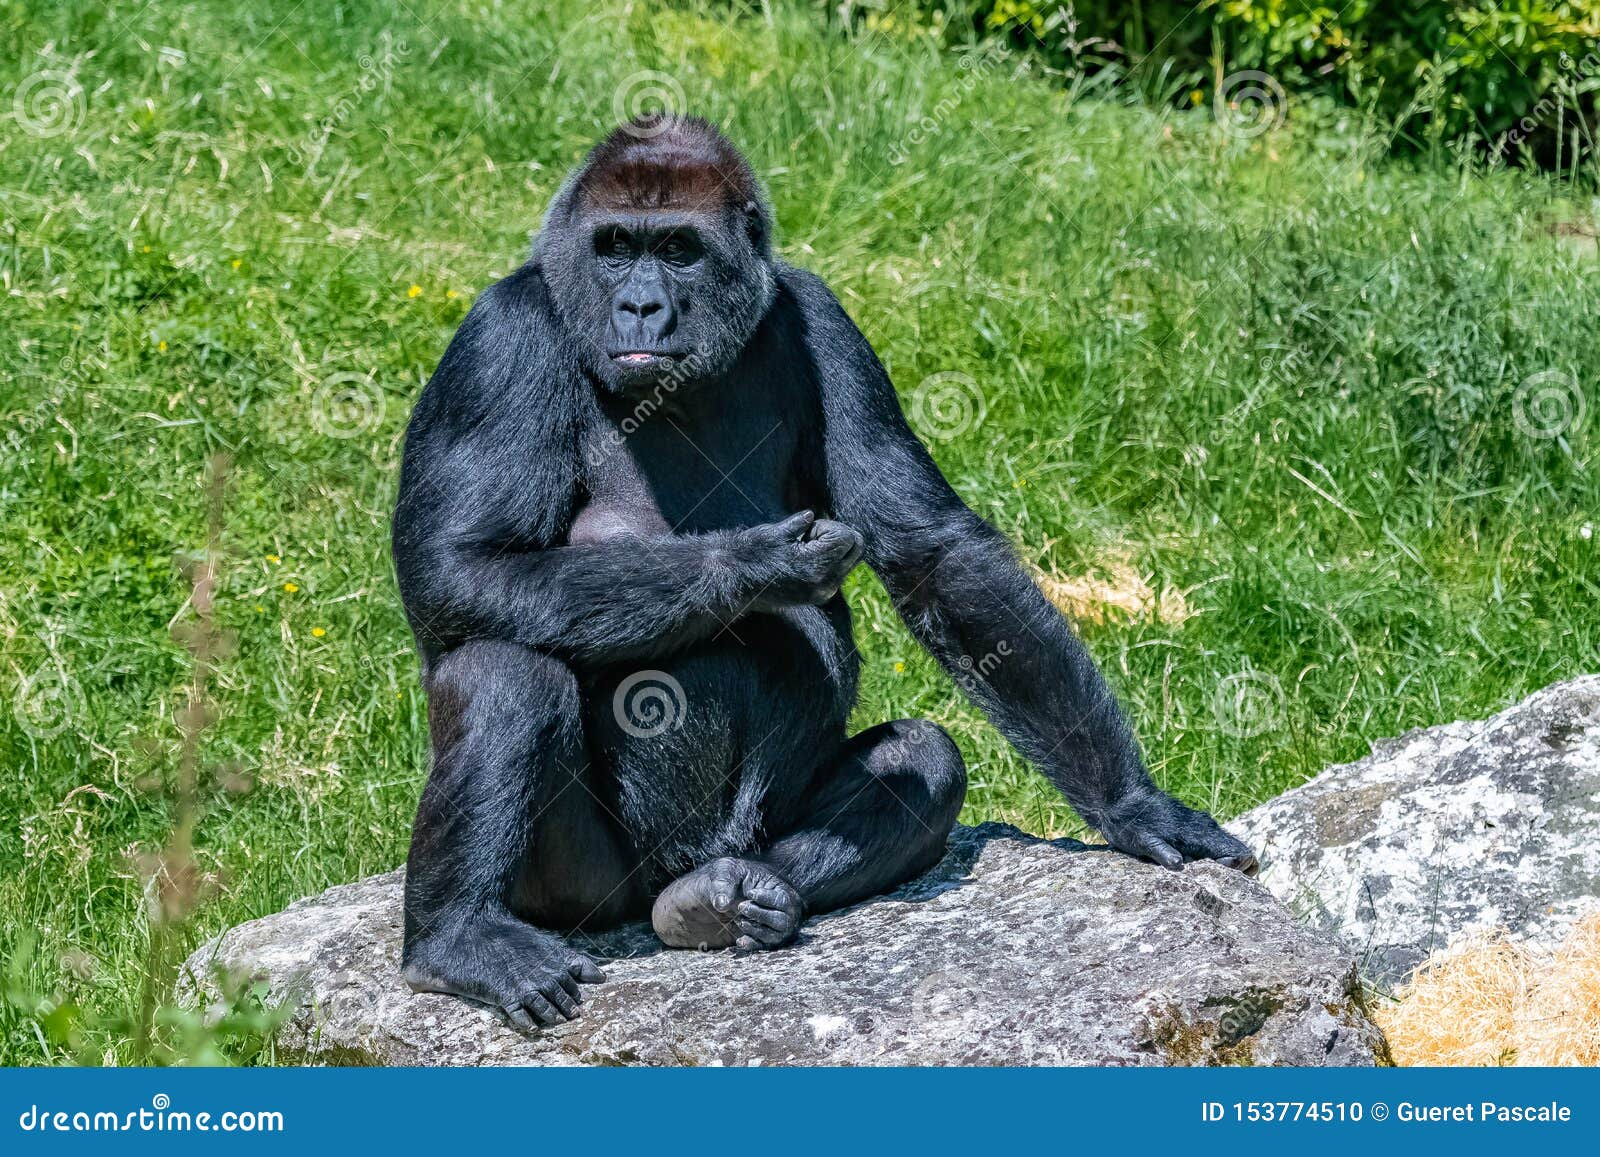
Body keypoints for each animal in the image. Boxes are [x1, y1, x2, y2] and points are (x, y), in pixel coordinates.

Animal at [390, 112, 1260, 1024]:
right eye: (616, 247)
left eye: (678, 250)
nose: (640, 306)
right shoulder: (498, 338)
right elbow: (461, 567)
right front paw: (756, 563)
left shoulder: (825, 318)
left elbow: (934, 552)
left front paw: (1133, 805)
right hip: (584, 898)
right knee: (503, 670)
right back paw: (459, 938)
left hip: (743, 836)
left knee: (922, 760)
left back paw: (732, 896)